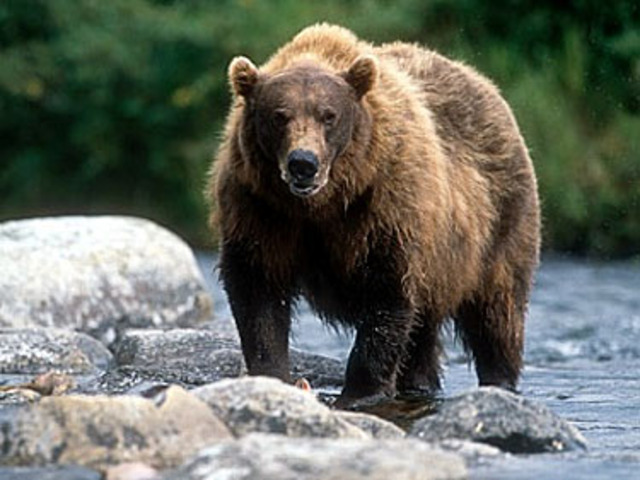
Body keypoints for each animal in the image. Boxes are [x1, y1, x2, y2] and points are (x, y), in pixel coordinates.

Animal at [208, 24, 540, 404]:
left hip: (497, 223)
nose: (303, 163)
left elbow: (387, 291)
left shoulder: (383, 203)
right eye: (279, 115)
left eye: (329, 115)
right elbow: (257, 289)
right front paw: (273, 375)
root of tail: (484, 83)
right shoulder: (260, 208)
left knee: (496, 313)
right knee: (423, 333)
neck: (322, 204)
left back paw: (499, 379)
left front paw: (360, 391)